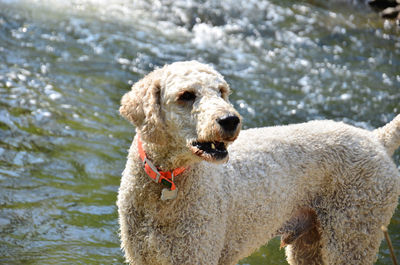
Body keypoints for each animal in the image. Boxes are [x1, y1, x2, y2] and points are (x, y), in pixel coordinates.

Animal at [117, 60, 398, 264]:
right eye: (186, 95)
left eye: (222, 91)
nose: (231, 120)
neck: (168, 179)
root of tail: (376, 138)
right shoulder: (141, 255)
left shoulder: (195, 253)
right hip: (311, 244)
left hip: (352, 235)